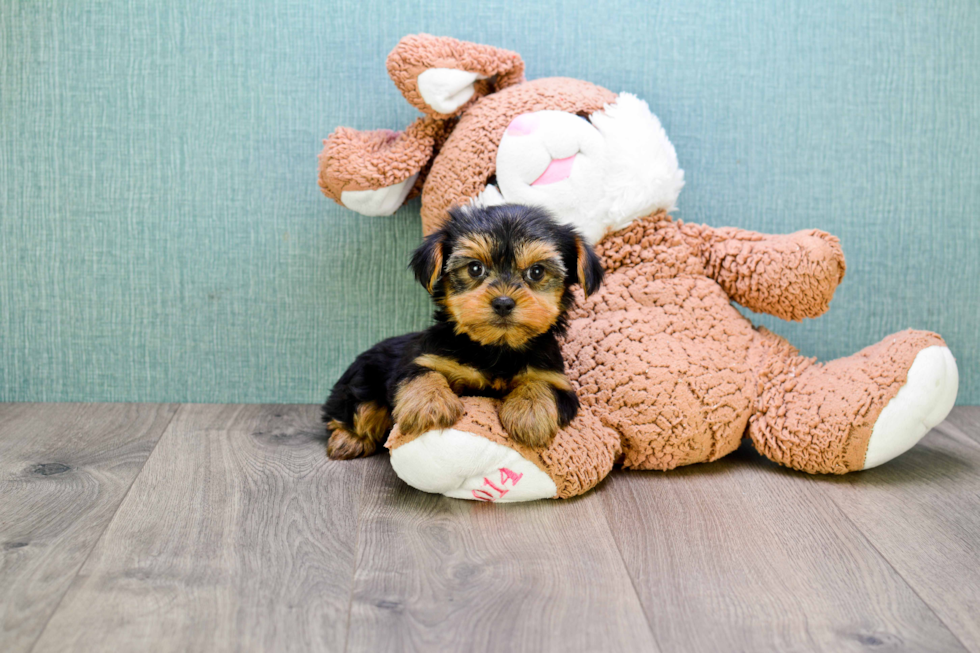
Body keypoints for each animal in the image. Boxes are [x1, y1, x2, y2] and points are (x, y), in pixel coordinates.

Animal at [322, 204, 600, 458]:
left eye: (537, 271)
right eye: (475, 268)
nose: (503, 302)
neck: (496, 348)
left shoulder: (556, 379)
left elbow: (542, 386)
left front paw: (530, 414)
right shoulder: (421, 359)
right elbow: (420, 373)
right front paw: (429, 404)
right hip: (361, 381)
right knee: (355, 410)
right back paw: (348, 440)